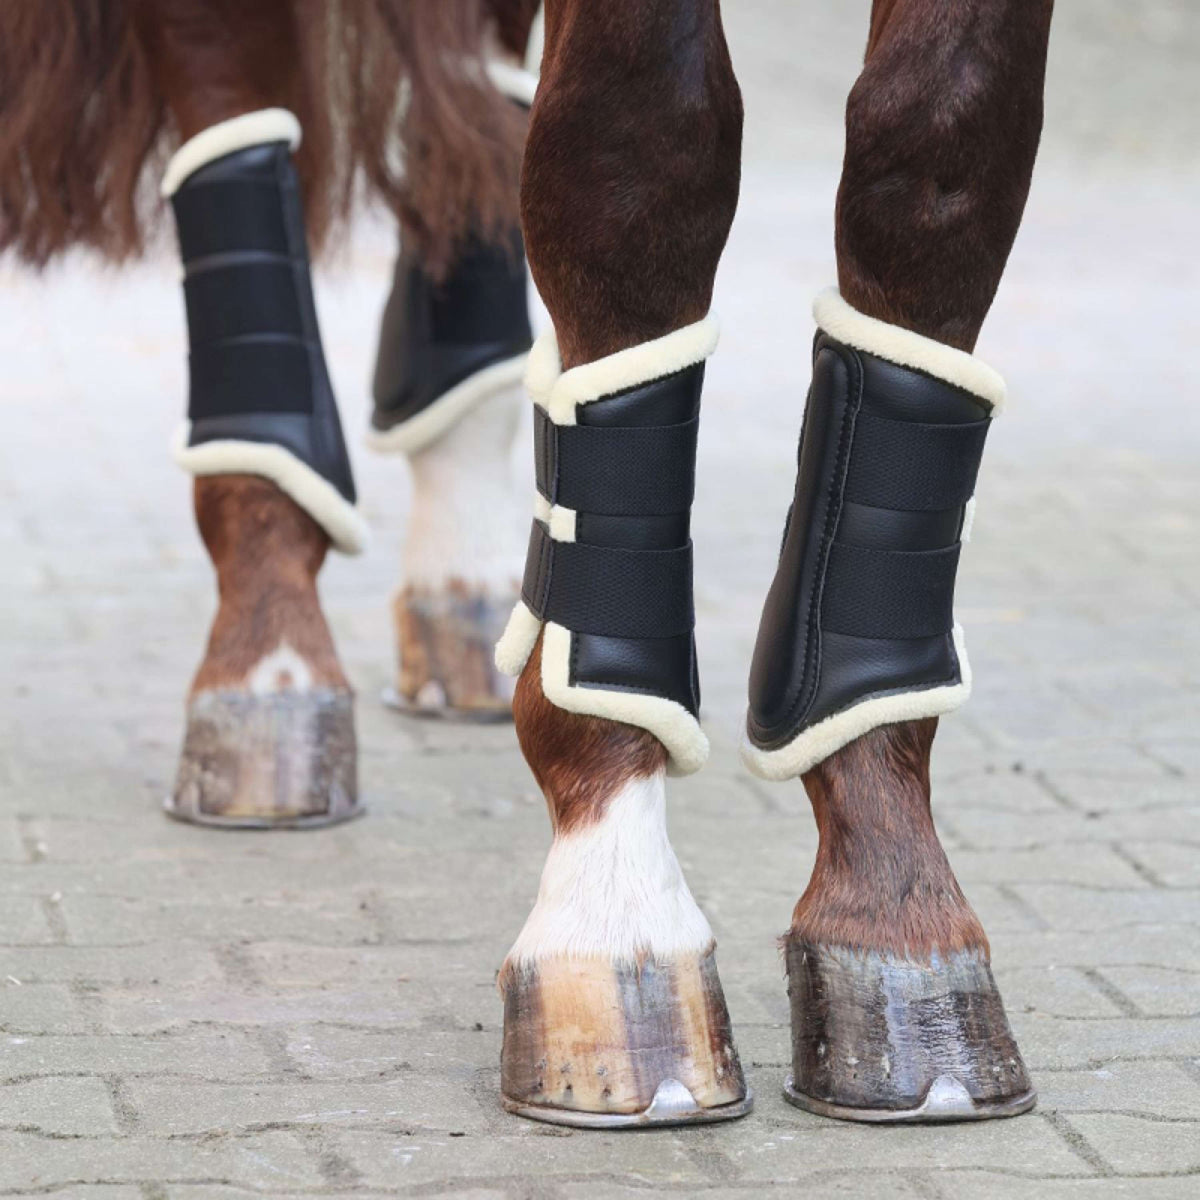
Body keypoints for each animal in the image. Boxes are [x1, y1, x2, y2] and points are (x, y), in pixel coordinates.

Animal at [0, 0, 1051, 1123]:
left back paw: (457, 594)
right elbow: (640, 158)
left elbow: (938, 164)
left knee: (470, 121)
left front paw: (901, 934)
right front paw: (618, 929)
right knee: (239, 121)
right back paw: (268, 670)